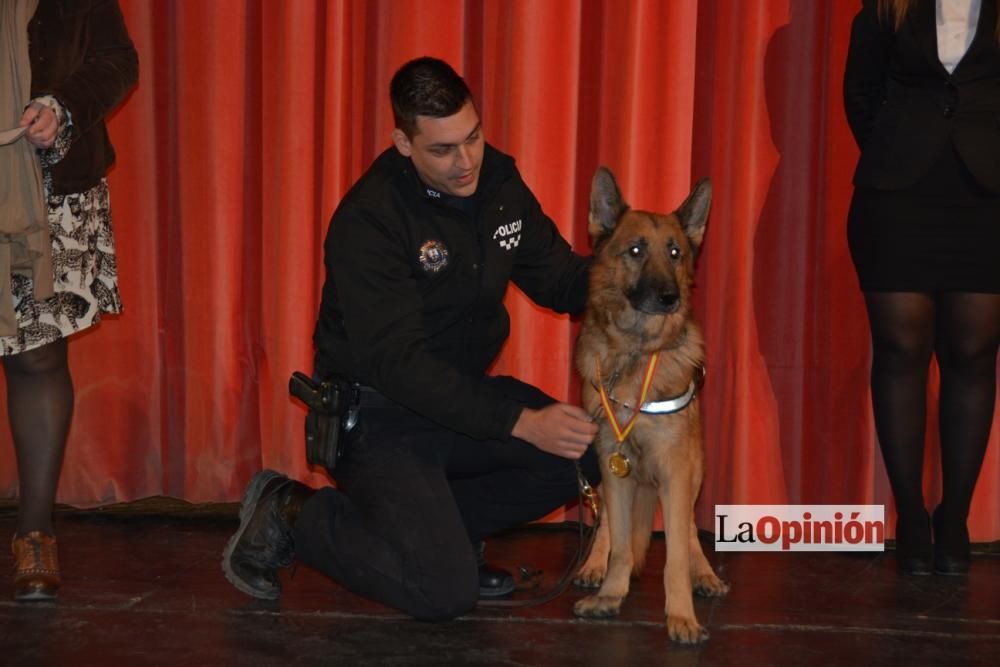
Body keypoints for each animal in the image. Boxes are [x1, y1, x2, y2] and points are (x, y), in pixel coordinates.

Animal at [572, 168, 728, 648]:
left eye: (675, 252)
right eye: (636, 250)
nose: (668, 297)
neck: (637, 354)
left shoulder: (676, 471)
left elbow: (675, 553)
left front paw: (681, 616)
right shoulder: (612, 463)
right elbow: (622, 544)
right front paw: (609, 594)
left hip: (692, 470)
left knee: (690, 532)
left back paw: (704, 575)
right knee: (607, 523)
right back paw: (593, 565)